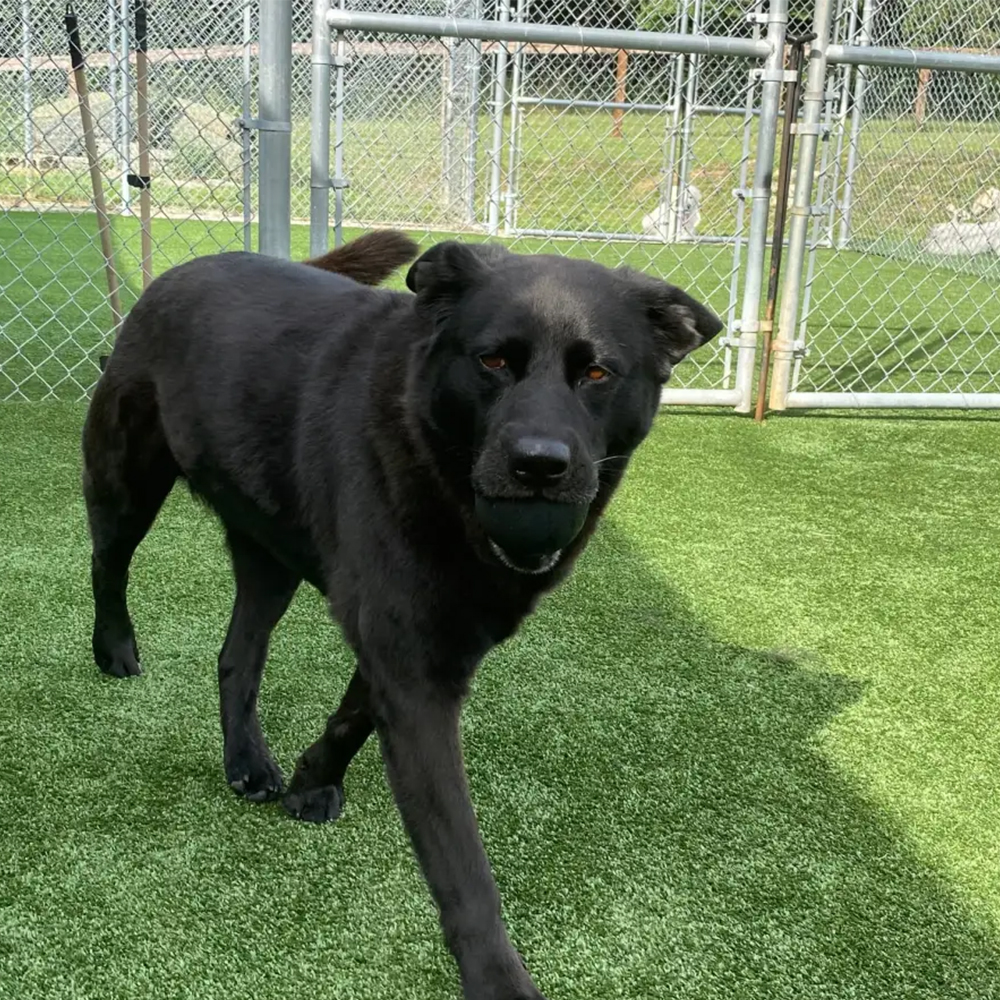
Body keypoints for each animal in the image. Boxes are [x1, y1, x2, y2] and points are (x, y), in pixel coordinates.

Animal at [80, 230, 720, 996]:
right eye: (493, 360)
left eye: (597, 373)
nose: (539, 465)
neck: (435, 455)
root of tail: (186, 269)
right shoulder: (413, 667)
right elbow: (463, 866)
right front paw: (499, 980)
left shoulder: (417, 638)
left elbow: (353, 715)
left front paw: (310, 781)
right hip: (129, 476)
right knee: (107, 561)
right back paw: (114, 648)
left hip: (268, 554)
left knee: (237, 656)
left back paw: (249, 764)